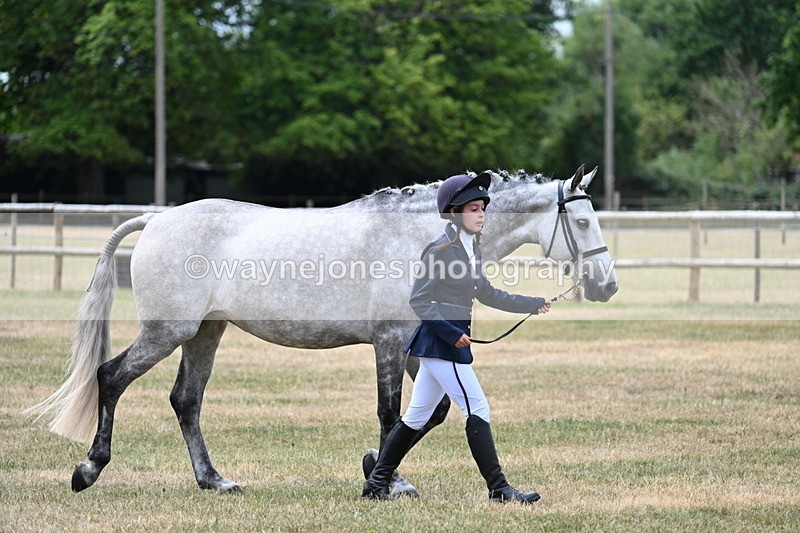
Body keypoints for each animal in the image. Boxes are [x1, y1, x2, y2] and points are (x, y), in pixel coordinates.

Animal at [27, 165, 618, 495]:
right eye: (582, 221)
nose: (608, 285)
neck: (423, 236)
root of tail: (156, 219)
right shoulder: (389, 342)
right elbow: (390, 412)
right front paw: (389, 481)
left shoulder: (418, 346)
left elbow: (428, 415)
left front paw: (377, 467)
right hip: (167, 331)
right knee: (111, 377)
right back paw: (88, 469)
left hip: (205, 333)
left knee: (185, 400)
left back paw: (214, 480)